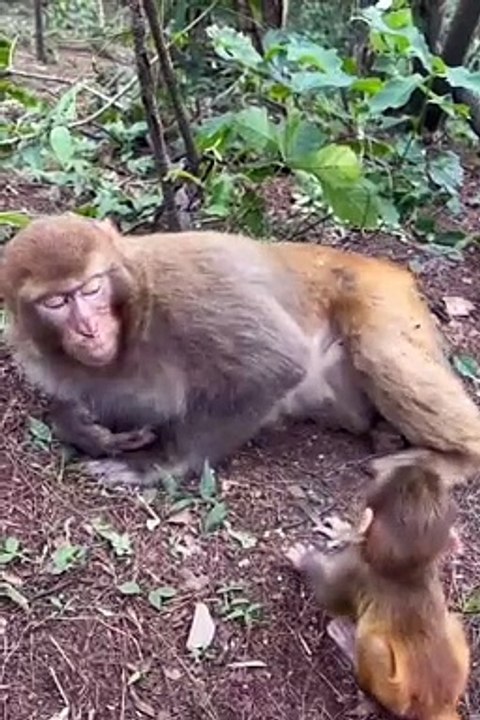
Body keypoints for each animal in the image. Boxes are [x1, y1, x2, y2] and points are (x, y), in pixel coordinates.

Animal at [1, 212, 480, 487]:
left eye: (92, 288)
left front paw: (161, 464)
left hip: (381, 295)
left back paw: (454, 461)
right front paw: (83, 429)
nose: (87, 328)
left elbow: (277, 365)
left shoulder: (187, 290)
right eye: (56, 302)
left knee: (379, 352)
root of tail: (385, 267)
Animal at [286, 464, 470, 720]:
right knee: (452, 620)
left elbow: (328, 594)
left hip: (394, 696)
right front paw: (343, 531)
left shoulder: (355, 568)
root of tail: (438, 707)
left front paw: (304, 560)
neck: (406, 572)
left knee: (373, 645)